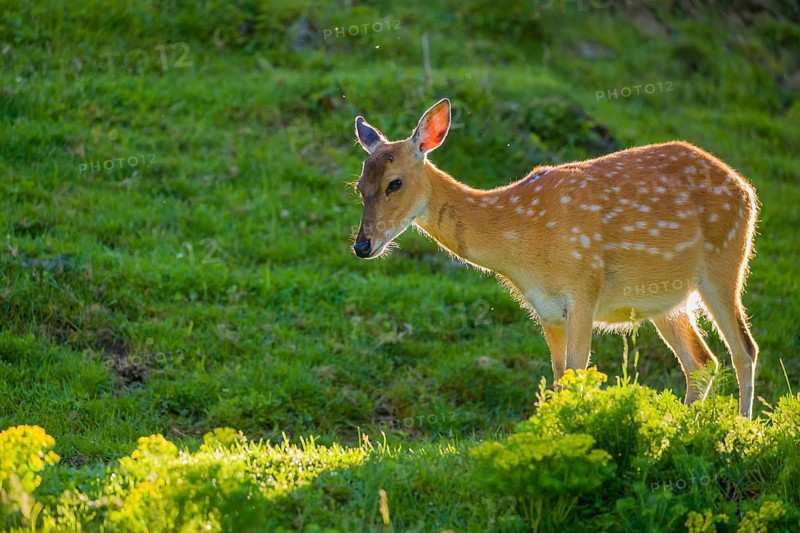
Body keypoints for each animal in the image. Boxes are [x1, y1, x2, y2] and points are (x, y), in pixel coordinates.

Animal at [350, 98, 760, 418]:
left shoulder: (583, 289)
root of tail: (746, 189)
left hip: (726, 262)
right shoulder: (546, 309)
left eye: (395, 183)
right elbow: (560, 379)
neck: (524, 245)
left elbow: (578, 375)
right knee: (702, 361)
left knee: (744, 349)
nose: (362, 245)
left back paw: (741, 426)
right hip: (666, 299)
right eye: (359, 185)